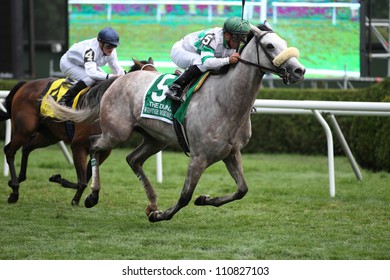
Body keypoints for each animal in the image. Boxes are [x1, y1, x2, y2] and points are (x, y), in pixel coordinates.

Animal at [0, 57, 155, 206]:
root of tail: (25, 84)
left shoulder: (104, 151)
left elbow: (87, 177)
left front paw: (69, 190)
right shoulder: (78, 146)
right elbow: (83, 181)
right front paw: (72, 190)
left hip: (49, 136)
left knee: (27, 147)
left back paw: (19, 179)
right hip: (23, 130)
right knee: (9, 151)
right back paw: (14, 190)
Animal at [47, 23, 306, 222]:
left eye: (283, 42)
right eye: (270, 46)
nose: (299, 71)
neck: (225, 99)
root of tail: (118, 80)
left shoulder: (231, 152)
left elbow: (242, 190)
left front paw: (204, 199)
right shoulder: (199, 157)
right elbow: (184, 196)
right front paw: (161, 215)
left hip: (155, 139)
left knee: (133, 159)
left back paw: (151, 202)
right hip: (116, 132)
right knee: (94, 144)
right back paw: (93, 195)